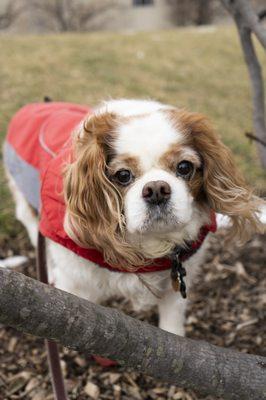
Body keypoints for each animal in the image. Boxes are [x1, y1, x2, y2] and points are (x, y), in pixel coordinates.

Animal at [3, 98, 262, 336]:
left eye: (184, 167)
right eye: (123, 175)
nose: (156, 189)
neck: (148, 244)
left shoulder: (176, 285)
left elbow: (172, 326)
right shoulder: (76, 285)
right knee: (28, 220)